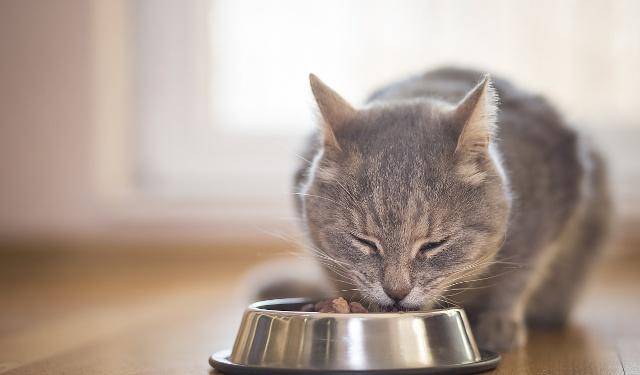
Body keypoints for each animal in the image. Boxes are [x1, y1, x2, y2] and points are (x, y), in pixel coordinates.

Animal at [288, 68, 612, 352]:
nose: (396, 292)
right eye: (364, 242)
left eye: (434, 245)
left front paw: (499, 322)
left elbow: (519, 275)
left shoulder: (551, 209)